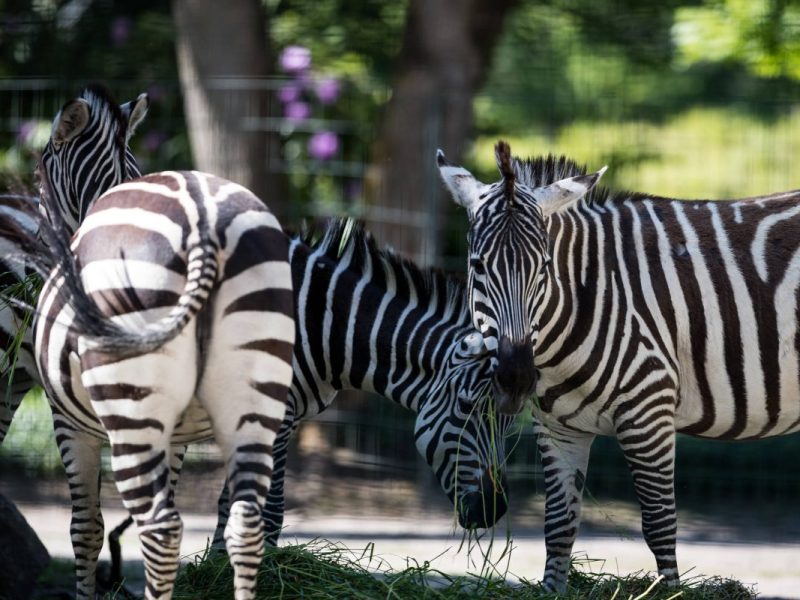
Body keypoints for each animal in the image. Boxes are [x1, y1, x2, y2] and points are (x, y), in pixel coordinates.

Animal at [35, 168, 296, 600]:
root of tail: (204, 222)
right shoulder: (177, 438)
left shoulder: (67, 423)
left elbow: (85, 528)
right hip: (255, 401)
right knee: (246, 526)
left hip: (130, 407)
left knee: (161, 529)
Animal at [438, 140, 800, 592]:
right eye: (478, 266)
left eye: (544, 267)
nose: (516, 378)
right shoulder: (557, 428)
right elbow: (558, 524)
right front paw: (553, 590)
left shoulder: (649, 411)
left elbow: (660, 524)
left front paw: (669, 594)